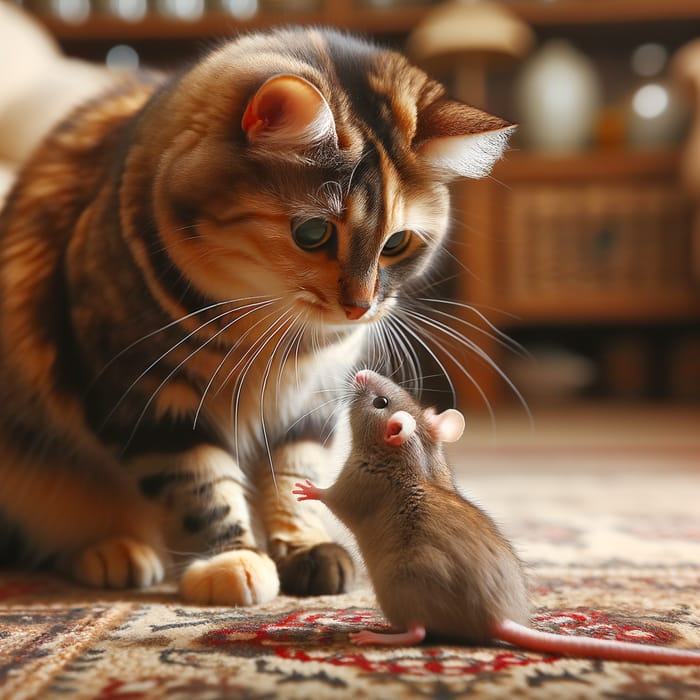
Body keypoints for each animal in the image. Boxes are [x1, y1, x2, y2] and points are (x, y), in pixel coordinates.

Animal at [0, 27, 516, 604]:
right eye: (312, 233)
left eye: (397, 243)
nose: (360, 307)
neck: (279, 338)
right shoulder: (151, 399)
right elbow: (200, 485)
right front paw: (232, 562)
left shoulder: (310, 401)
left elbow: (292, 475)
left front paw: (305, 549)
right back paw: (116, 552)